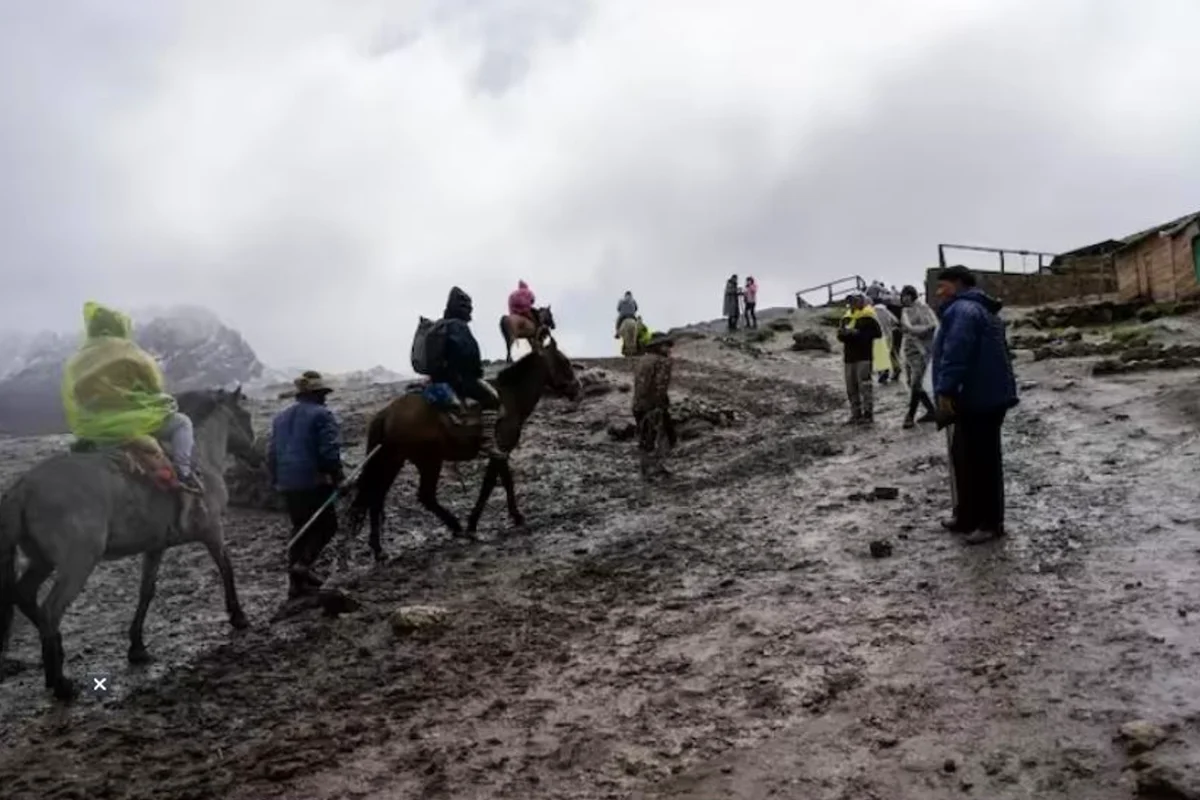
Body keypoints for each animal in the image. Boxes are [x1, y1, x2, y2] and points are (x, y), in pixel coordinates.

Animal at [0, 383, 260, 695]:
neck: (200, 458)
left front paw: (137, 647)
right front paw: (238, 616)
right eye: (245, 415)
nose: (259, 457)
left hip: (41, 561)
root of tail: (24, 487)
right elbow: (226, 569)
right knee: (50, 610)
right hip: (78, 564)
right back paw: (61, 682)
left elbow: (146, 591)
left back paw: (55, 662)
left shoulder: (155, 546)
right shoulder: (212, 530)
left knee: (24, 595)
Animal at [348, 335, 580, 561]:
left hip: (392, 461)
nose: (577, 388)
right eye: (564, 361)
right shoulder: (500, 450)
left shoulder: (500, 452)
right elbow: (493, 484)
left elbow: (500, 482)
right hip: (428, 461)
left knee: (377, 497)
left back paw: (378, 548)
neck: (510, 397)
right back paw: (456, 527)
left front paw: (502, 517)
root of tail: (386, 413)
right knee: (423, 496)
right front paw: (485, 521)